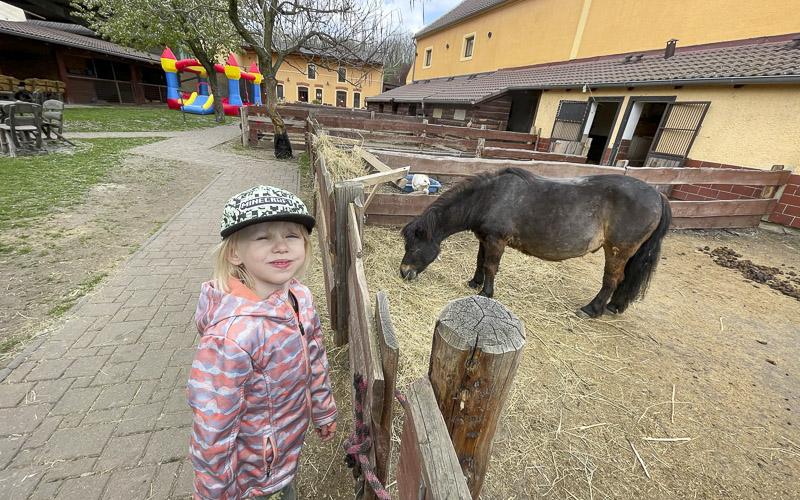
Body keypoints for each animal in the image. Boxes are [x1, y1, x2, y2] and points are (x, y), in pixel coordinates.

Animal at [398, 168, 668, 316]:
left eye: (414, 246)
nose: (403, 272)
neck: (488, 198)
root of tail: (658, 194)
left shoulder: (496, 240)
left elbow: (490, 266)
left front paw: (486, 292)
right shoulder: (485, 238)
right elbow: (480, 261)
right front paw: (474, 283)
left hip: (617, 250)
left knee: (612, 280)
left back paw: (592, 310)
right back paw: (614, 306)